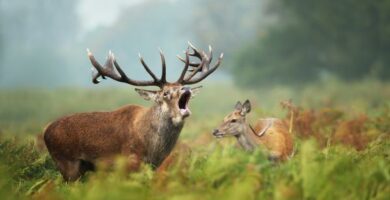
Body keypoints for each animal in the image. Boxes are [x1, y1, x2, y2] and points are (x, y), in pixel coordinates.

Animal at [43, 43, 222, 180]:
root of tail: (46, 132)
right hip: (66, 163)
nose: (187, 88)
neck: (153, 148)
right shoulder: (129, 162)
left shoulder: (152, 166)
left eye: (181, 87)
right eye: (165, 93)